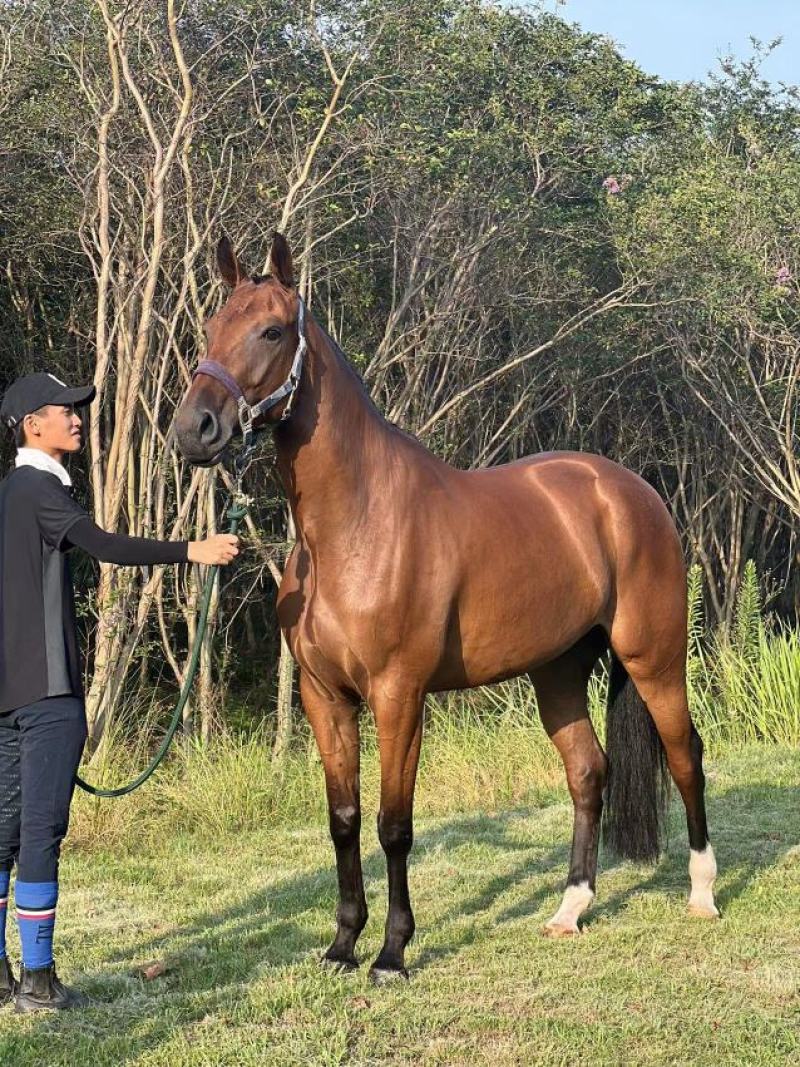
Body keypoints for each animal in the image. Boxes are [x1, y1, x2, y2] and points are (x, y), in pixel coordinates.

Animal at [175, 232, 719, 984]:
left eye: (272, 330)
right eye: (211, 327)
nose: (193, 429)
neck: (356, 524)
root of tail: (629, 490)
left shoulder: (399, 694)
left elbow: (393, 825)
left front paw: (392, 952)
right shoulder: (324, 696)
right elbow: (344, 818)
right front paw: (342, 944)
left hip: (654, 657)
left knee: (685, 754)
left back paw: (702, 894)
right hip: (557, 672)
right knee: (588, 772)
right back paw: (569, 909)